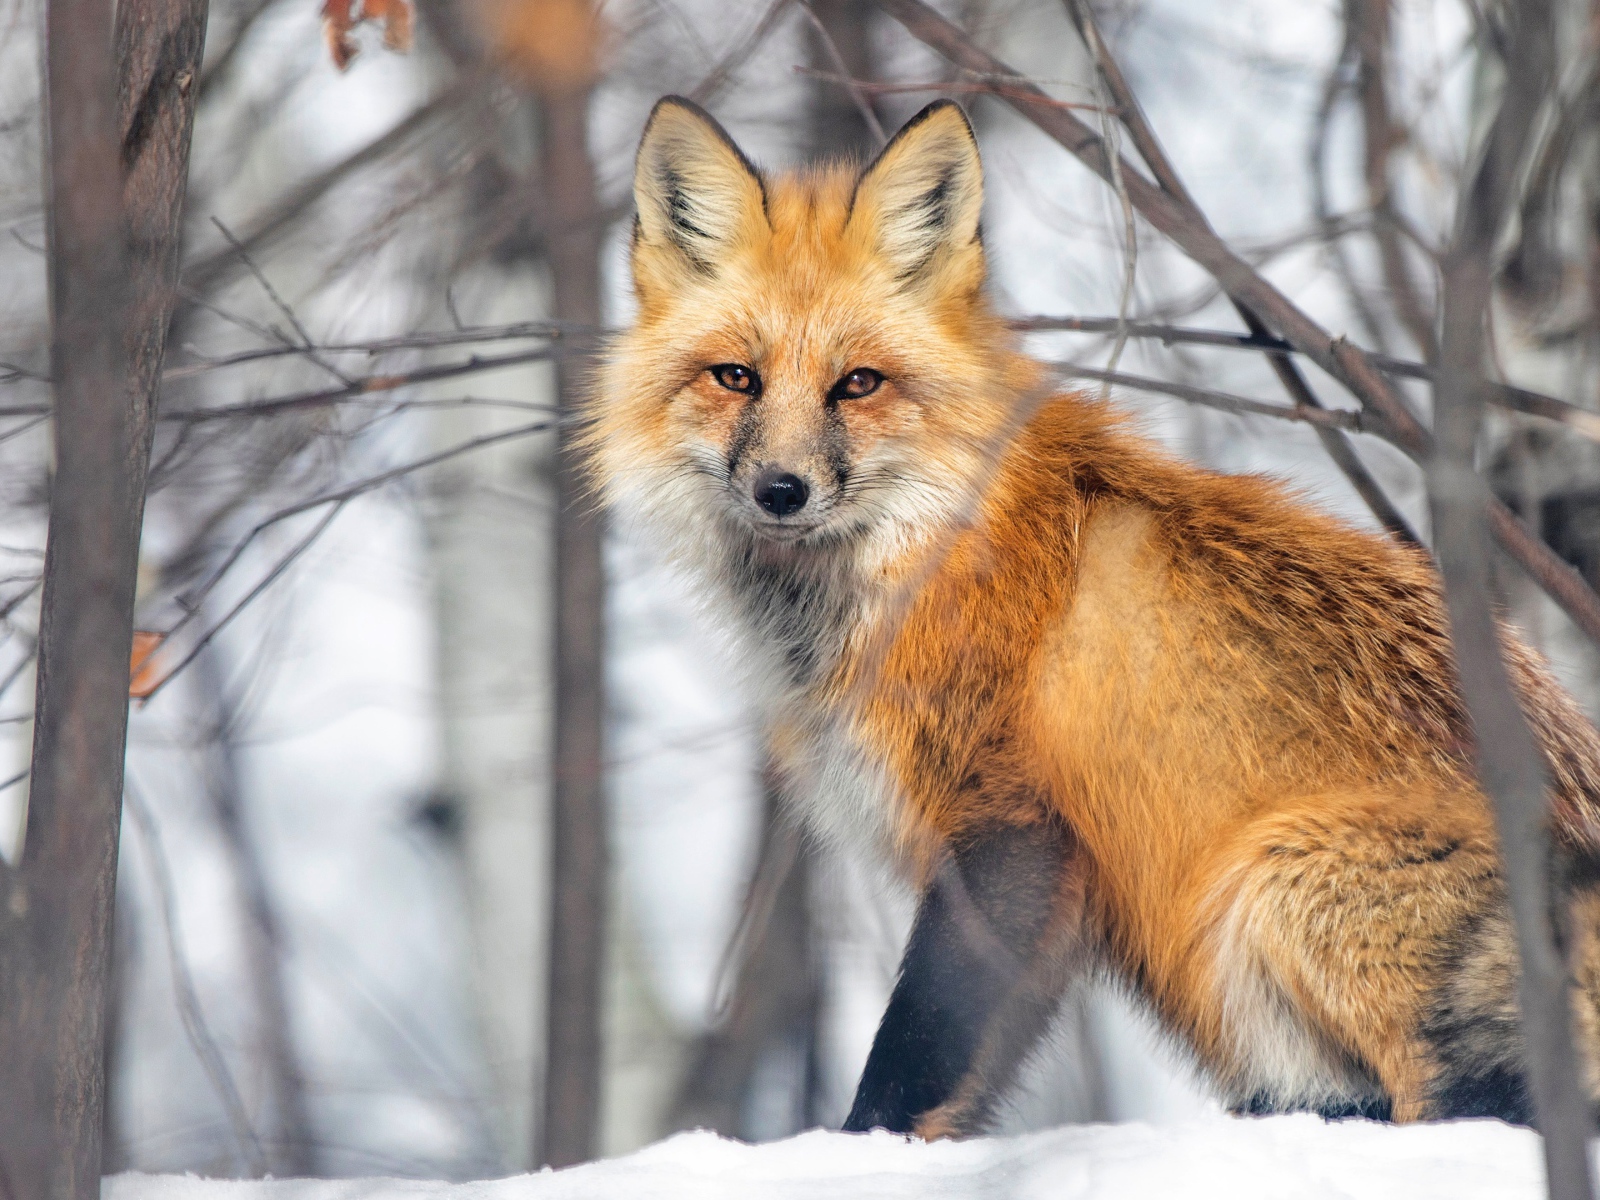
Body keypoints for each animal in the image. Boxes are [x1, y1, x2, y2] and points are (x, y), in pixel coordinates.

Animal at [592, 96, 1600, 1139]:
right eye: (736, 378)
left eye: (858, 384)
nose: (781, 490)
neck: (928, 551)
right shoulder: (1041, 899)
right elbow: (965, 1079)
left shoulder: (1014, 826)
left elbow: (912, 1057)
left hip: (1277, 884)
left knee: (1478, 1105)